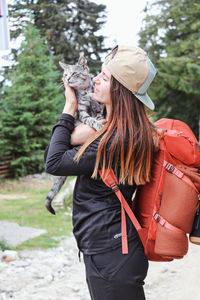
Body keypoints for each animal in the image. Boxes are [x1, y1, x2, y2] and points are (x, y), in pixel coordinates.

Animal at [45, 56, 103, 216]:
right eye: (65, 74)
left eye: (74, 73)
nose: (68, 79)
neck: (84, 91)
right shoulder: (82, 113)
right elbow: (91, 119)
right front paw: (99, 125)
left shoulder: (97, 106)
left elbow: (99, 113)